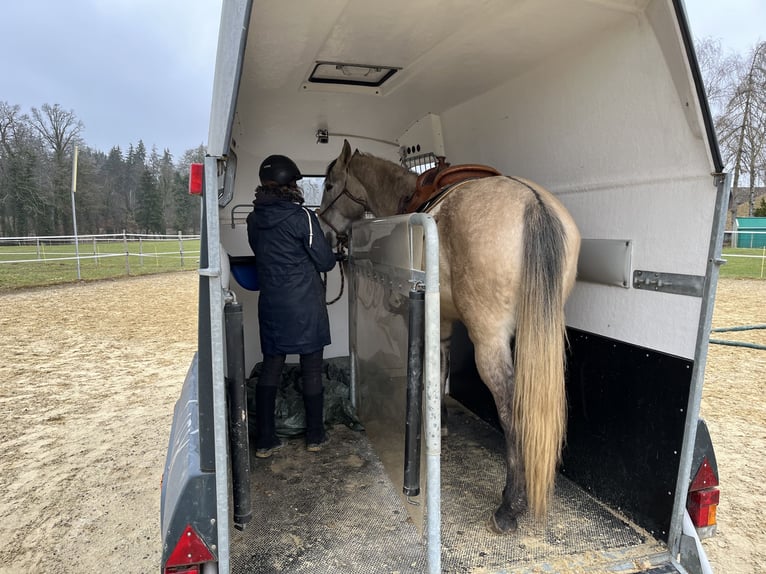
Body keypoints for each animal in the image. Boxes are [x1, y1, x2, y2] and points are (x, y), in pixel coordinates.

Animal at [318, 140, 584, 536]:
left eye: (329, 184)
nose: (322, 231)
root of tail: (532, 202)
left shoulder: (438, 320)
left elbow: (434, 368)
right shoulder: (446, 324)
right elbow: (441, 365)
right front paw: (440, 422)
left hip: (490, 340)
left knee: (511, 409)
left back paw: (510, 505)